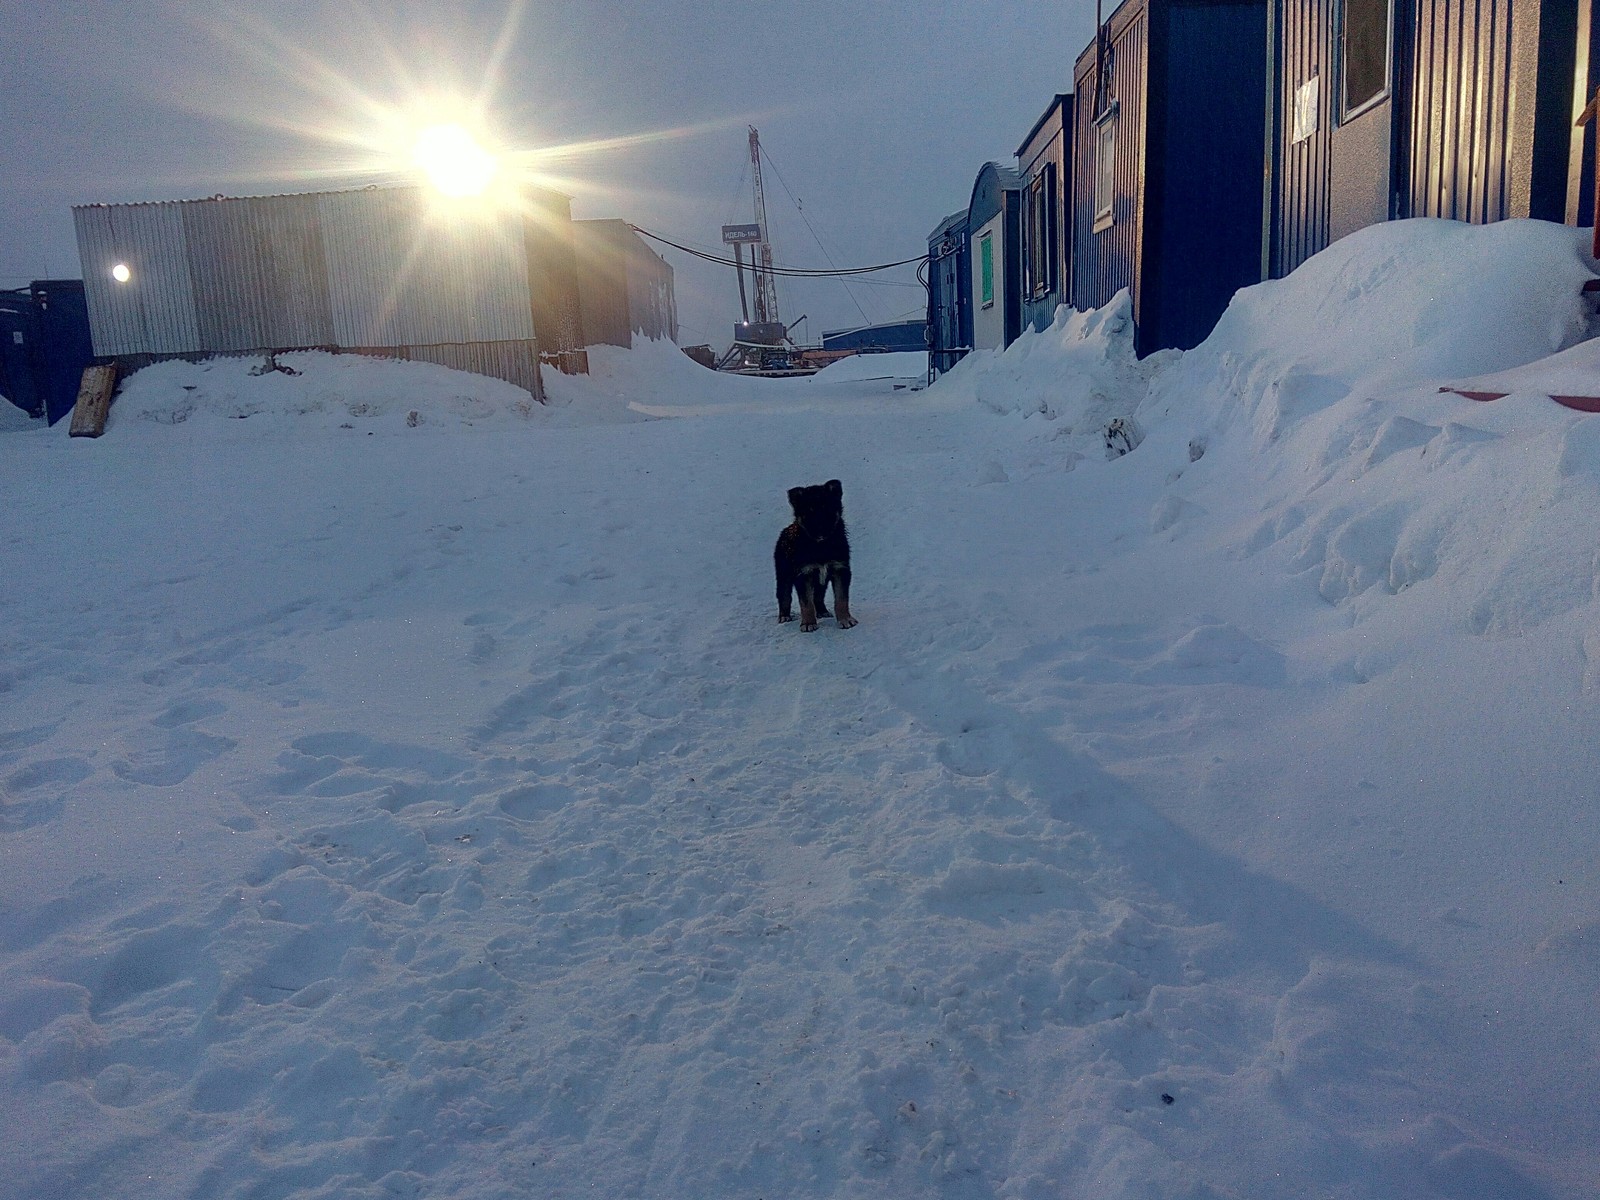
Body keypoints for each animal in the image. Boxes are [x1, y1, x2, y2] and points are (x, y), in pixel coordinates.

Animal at [777, 480, 864, 633]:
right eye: (809, 512)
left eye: (827, 509)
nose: (820, 530)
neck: (821, 545)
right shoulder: (803, 573)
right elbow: (806, 602)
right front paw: (808, 624)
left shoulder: (840, 569)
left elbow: (842, 598)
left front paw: (846, 620)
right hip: (783, 574)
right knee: (784, 596)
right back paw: (784, 616)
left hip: (820, 581)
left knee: (818, 596)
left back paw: (822, 611)